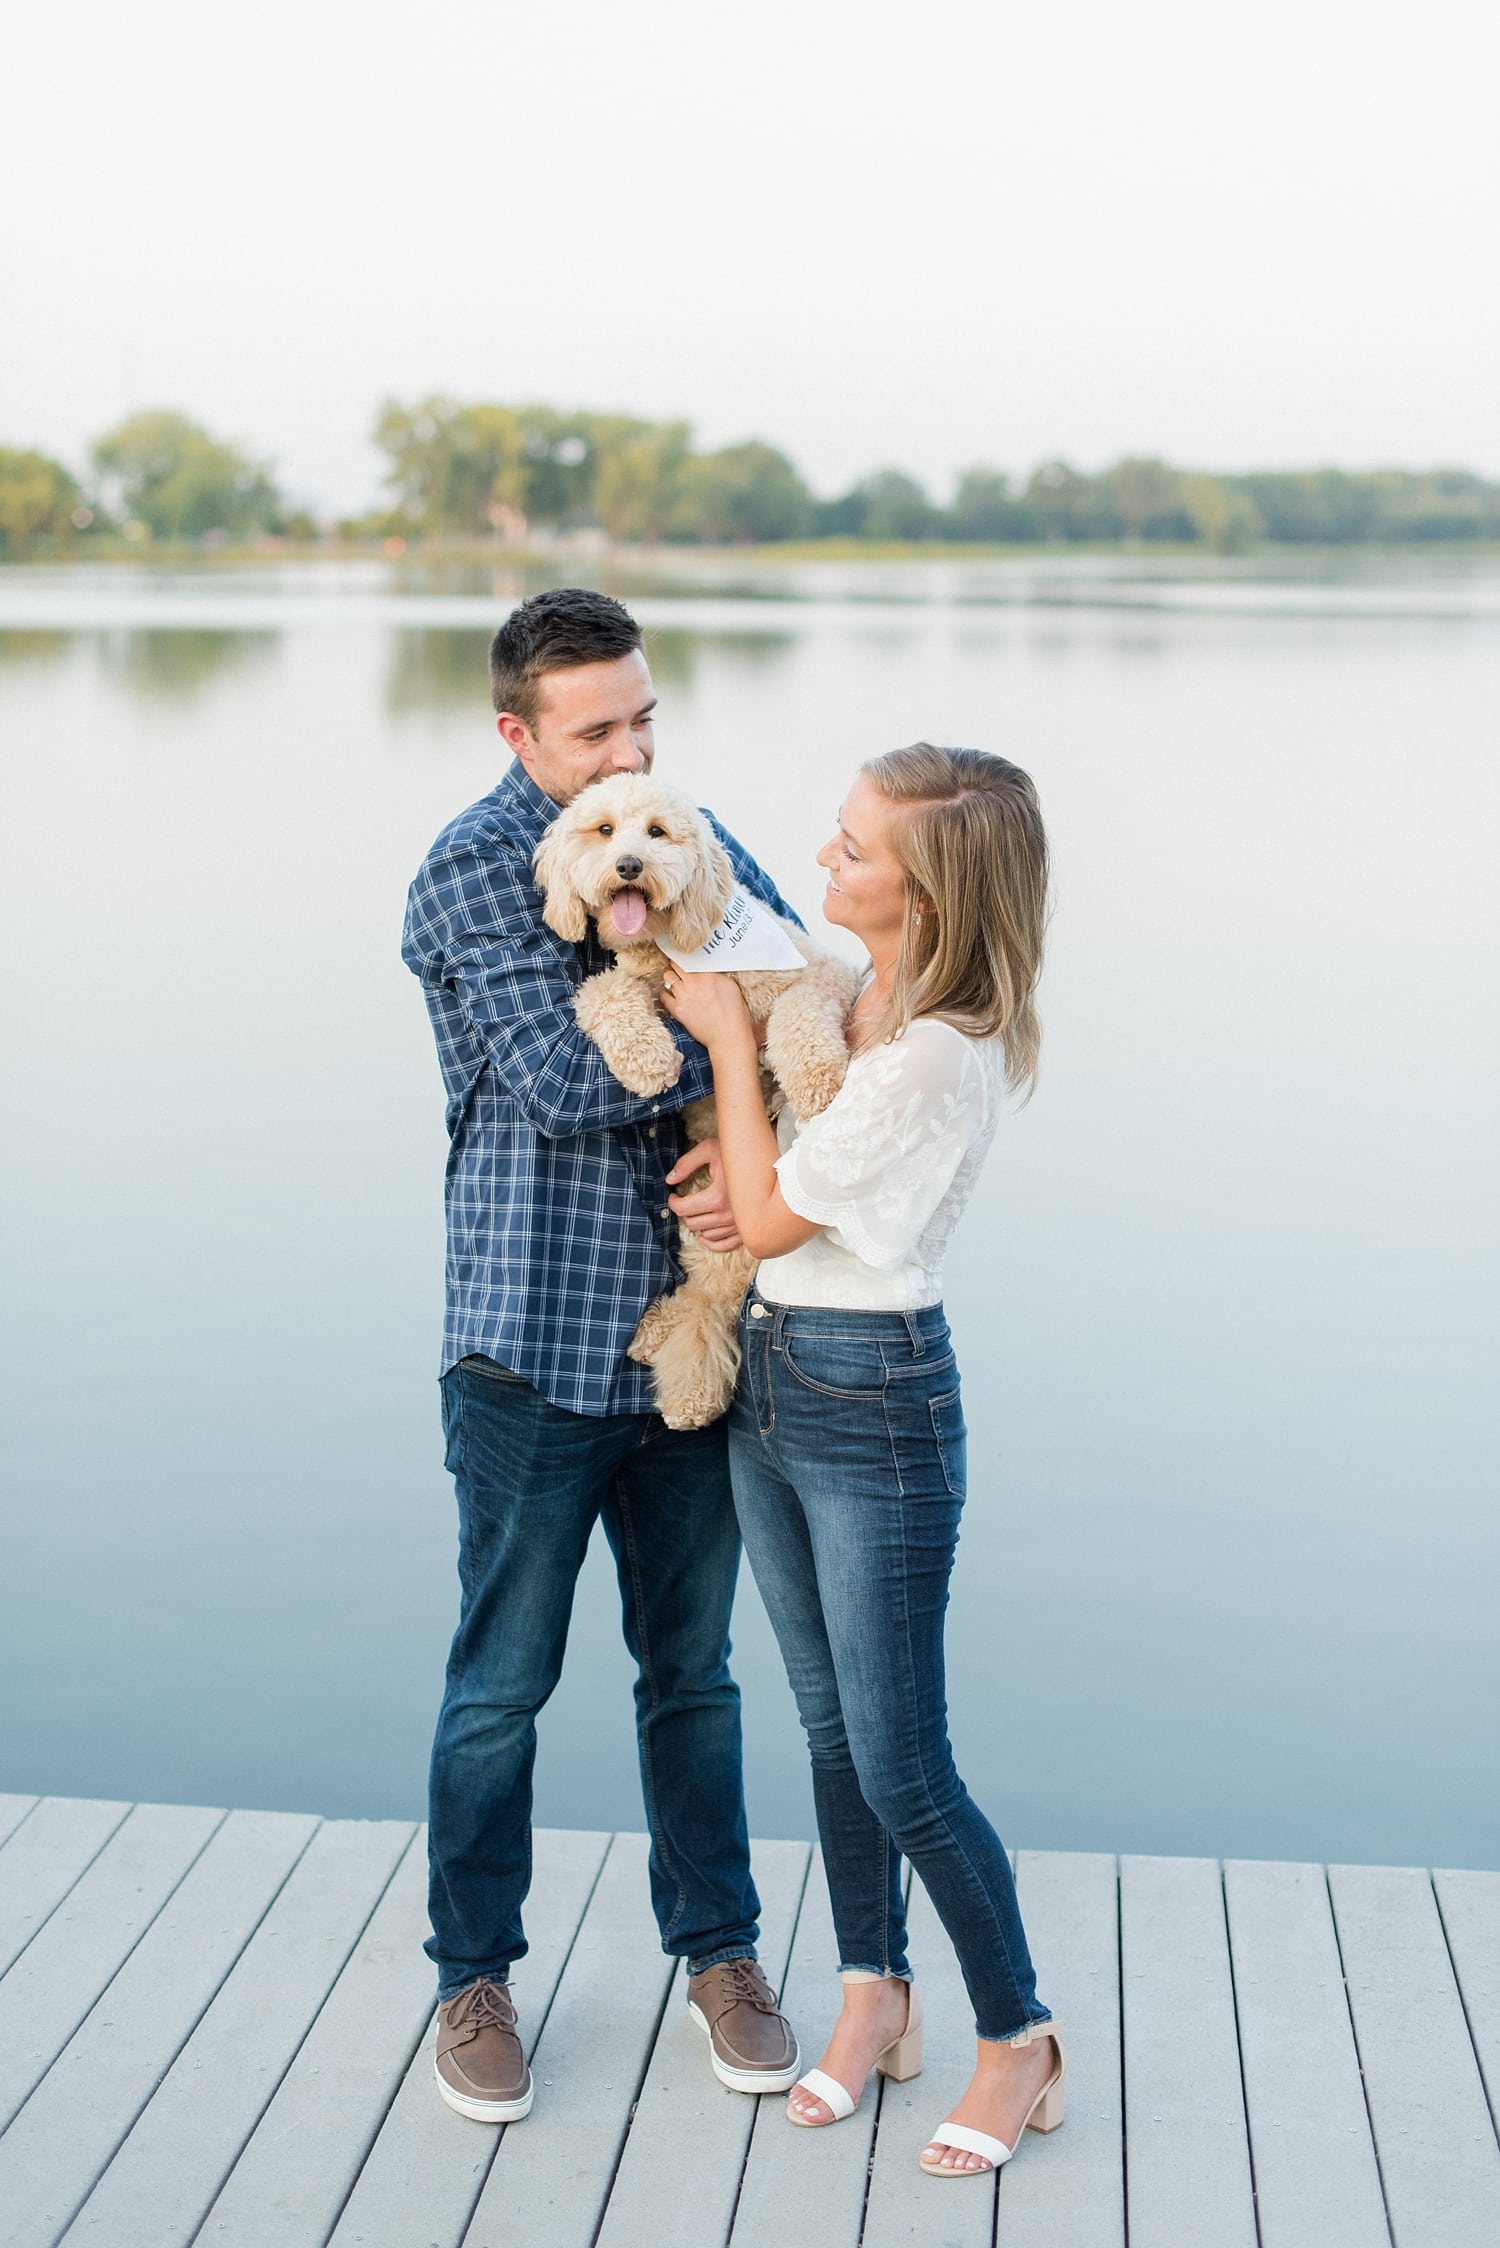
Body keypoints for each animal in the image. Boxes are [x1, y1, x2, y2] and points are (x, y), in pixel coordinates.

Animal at [530, 782, 854, 1429]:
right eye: (604, 831)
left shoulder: (823, 977)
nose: (630, 865)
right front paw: (650, 1062)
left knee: (713, 1303)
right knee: (703, 1301)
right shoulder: (623, 982)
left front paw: (819, 1082)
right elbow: (604, 992)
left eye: (657, 831)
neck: (668, 948)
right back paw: (654, 1336)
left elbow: (798, 1014)